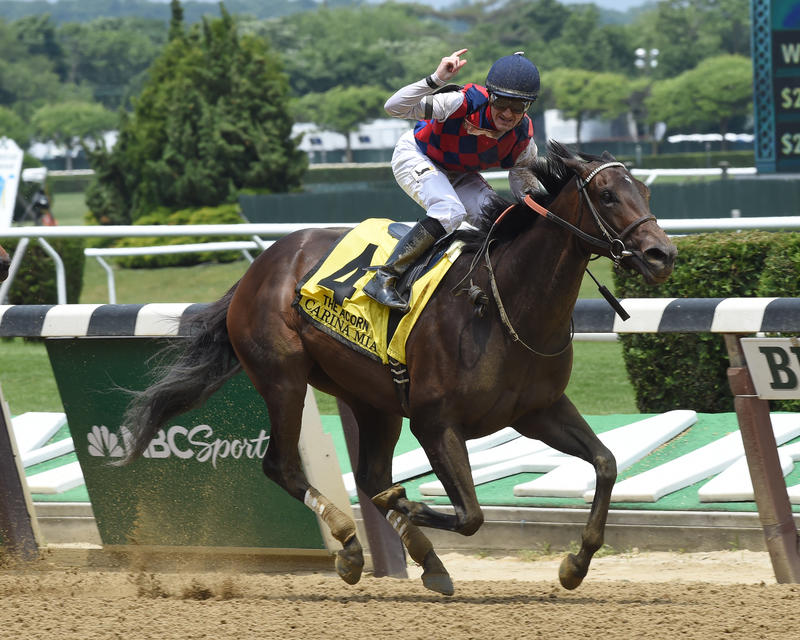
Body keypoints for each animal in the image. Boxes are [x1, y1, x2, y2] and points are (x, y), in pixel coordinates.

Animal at [123, 141, 676, 596]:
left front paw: (575, 564)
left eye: (647, 191)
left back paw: (426, 560)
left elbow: (606, 462)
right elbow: (470, 514)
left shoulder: (539, 410)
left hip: (373, 398)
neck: (503, 304)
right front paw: (409, 505)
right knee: (282, 465)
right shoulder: (435, 423)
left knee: (369, 474)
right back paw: (349, 544)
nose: (661, 254)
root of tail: (258, 268)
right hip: (284, 378)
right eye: (607, 195)